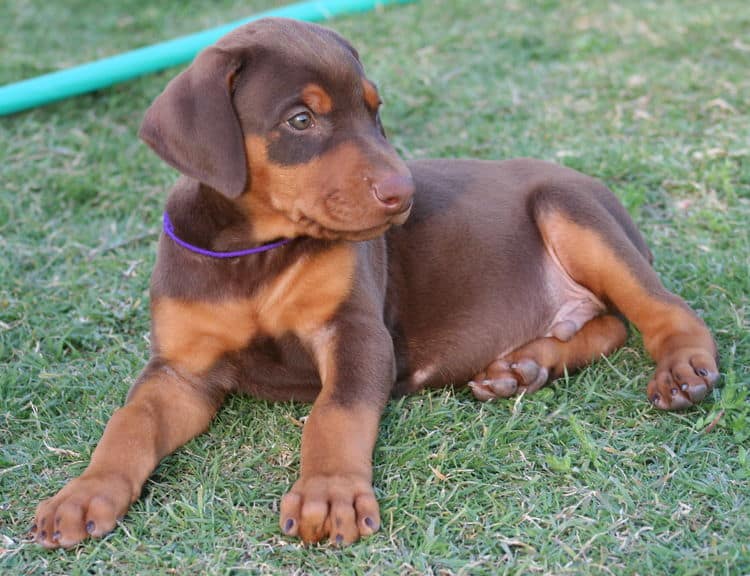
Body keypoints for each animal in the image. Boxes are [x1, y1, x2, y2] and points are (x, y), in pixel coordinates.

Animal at [30, 18, 724, 548]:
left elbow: (334, 413)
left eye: (374, 110)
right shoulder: (179, 370)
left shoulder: (357, 333)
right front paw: (83, 494)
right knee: (604, 324)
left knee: (660, 307)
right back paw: (523, 367)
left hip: (571, 211)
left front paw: (329, 494)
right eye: (301, 120)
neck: (253, 251)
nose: (404, 193)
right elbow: (130, 423)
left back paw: (681, 369)